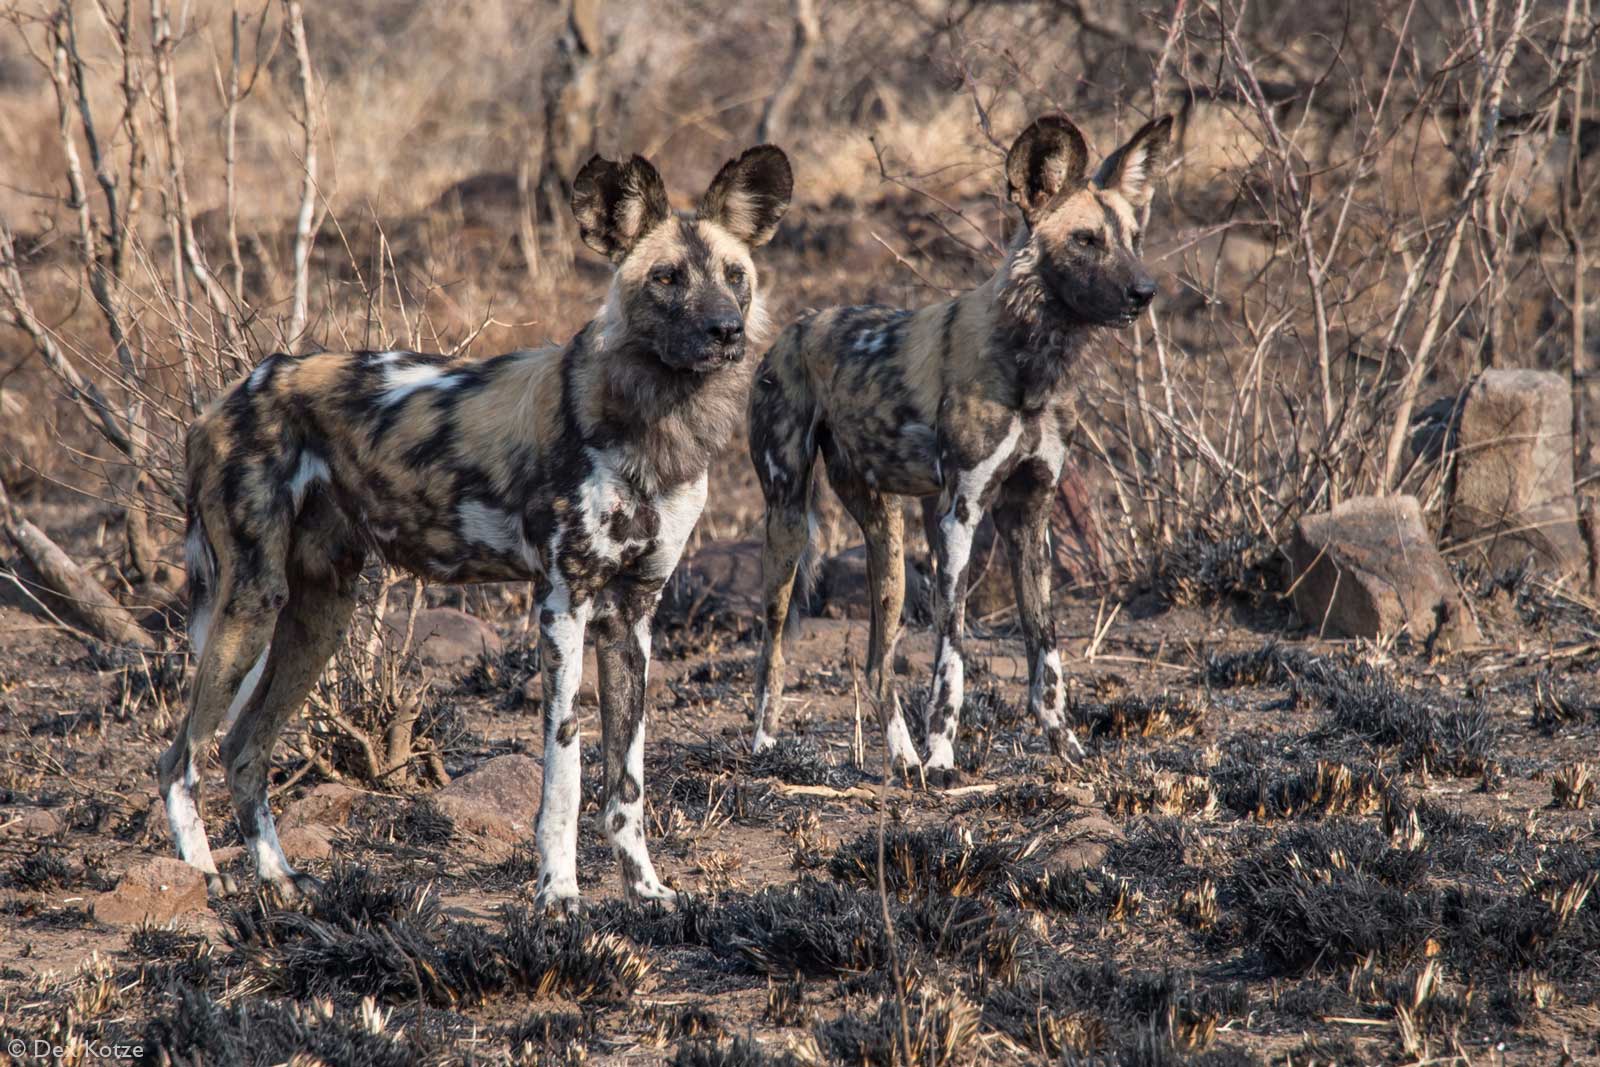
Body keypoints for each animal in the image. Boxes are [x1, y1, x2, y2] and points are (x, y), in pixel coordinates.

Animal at [156, 141, 793, 908]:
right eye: (667, 278)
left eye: (735, 276)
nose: (726, 330)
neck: (656, 420)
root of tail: (229, 395)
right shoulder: (563, 604)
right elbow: (565, 768)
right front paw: (558, 894)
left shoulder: (633, 615)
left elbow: (628, 781)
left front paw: (645, 889)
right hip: (250, 604)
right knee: (179, 757)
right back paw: (202, 881)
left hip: (319, 615)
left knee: (242, 746)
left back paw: (279, 879)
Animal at [742, 115, 1171, 783]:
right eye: (1085, 240)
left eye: (1133, 238)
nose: (1143, 291)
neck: (1034, 366)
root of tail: (792, 328)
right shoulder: (958, 517)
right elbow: (953, 655)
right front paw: (944, 755)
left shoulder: (1030, 516)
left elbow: (1046, 654)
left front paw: (1067, 750)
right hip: (786, 527)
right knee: (773, 652)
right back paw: (770, 748)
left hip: (888, 546)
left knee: (877, 665)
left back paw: (902, 759)